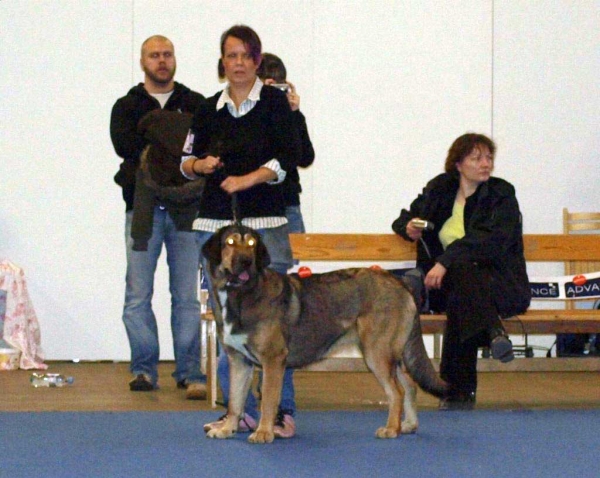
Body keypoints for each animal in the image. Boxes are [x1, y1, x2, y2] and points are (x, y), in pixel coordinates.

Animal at [204, 226, 448, 442]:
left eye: (252, 244)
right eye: (230, 242)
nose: (246, 261)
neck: (240, 293)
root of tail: (400, 283)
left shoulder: (272, 361)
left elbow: (268, 401)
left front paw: (264, 432)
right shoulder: (239, 361)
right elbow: (235, 402)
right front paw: (227, 429)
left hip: (377, 354)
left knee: (396, 391)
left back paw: (391, 429)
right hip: (388, 355)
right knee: (409, 386)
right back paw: (408, 425)